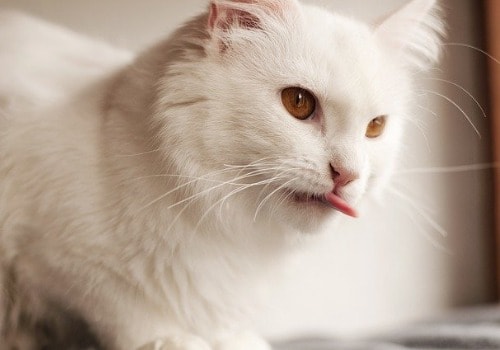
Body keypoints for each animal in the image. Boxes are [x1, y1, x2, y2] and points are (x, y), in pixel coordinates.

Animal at [0, 0, 446, 348]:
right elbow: (128, 310)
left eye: (375, 127)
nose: (348, 174)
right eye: (298, 102)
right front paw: (171, 339)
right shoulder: (57, 264)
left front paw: (232, 339)